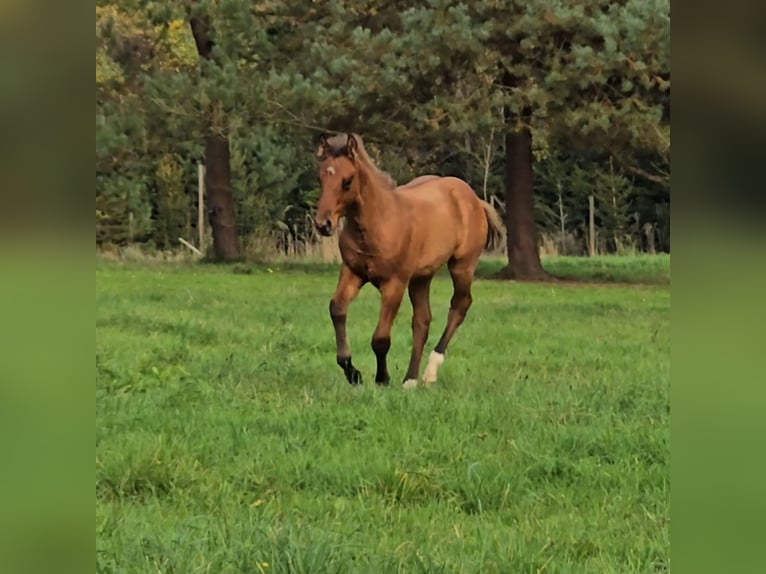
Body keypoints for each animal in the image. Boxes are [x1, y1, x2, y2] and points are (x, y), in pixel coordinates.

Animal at [314, 133, 504, 390]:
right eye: (321, 177)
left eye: (347, 181)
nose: (323, 225)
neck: (379, 222)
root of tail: (474, 199)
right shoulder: (353, 272)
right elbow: (337, 309)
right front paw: (353, 373)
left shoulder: (395, 283)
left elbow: (380, 338)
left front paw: (382, 379)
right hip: (421, 277)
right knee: (422, 320)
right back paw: (410, 379)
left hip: (462, 266)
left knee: (460, 305)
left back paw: (429, 372)